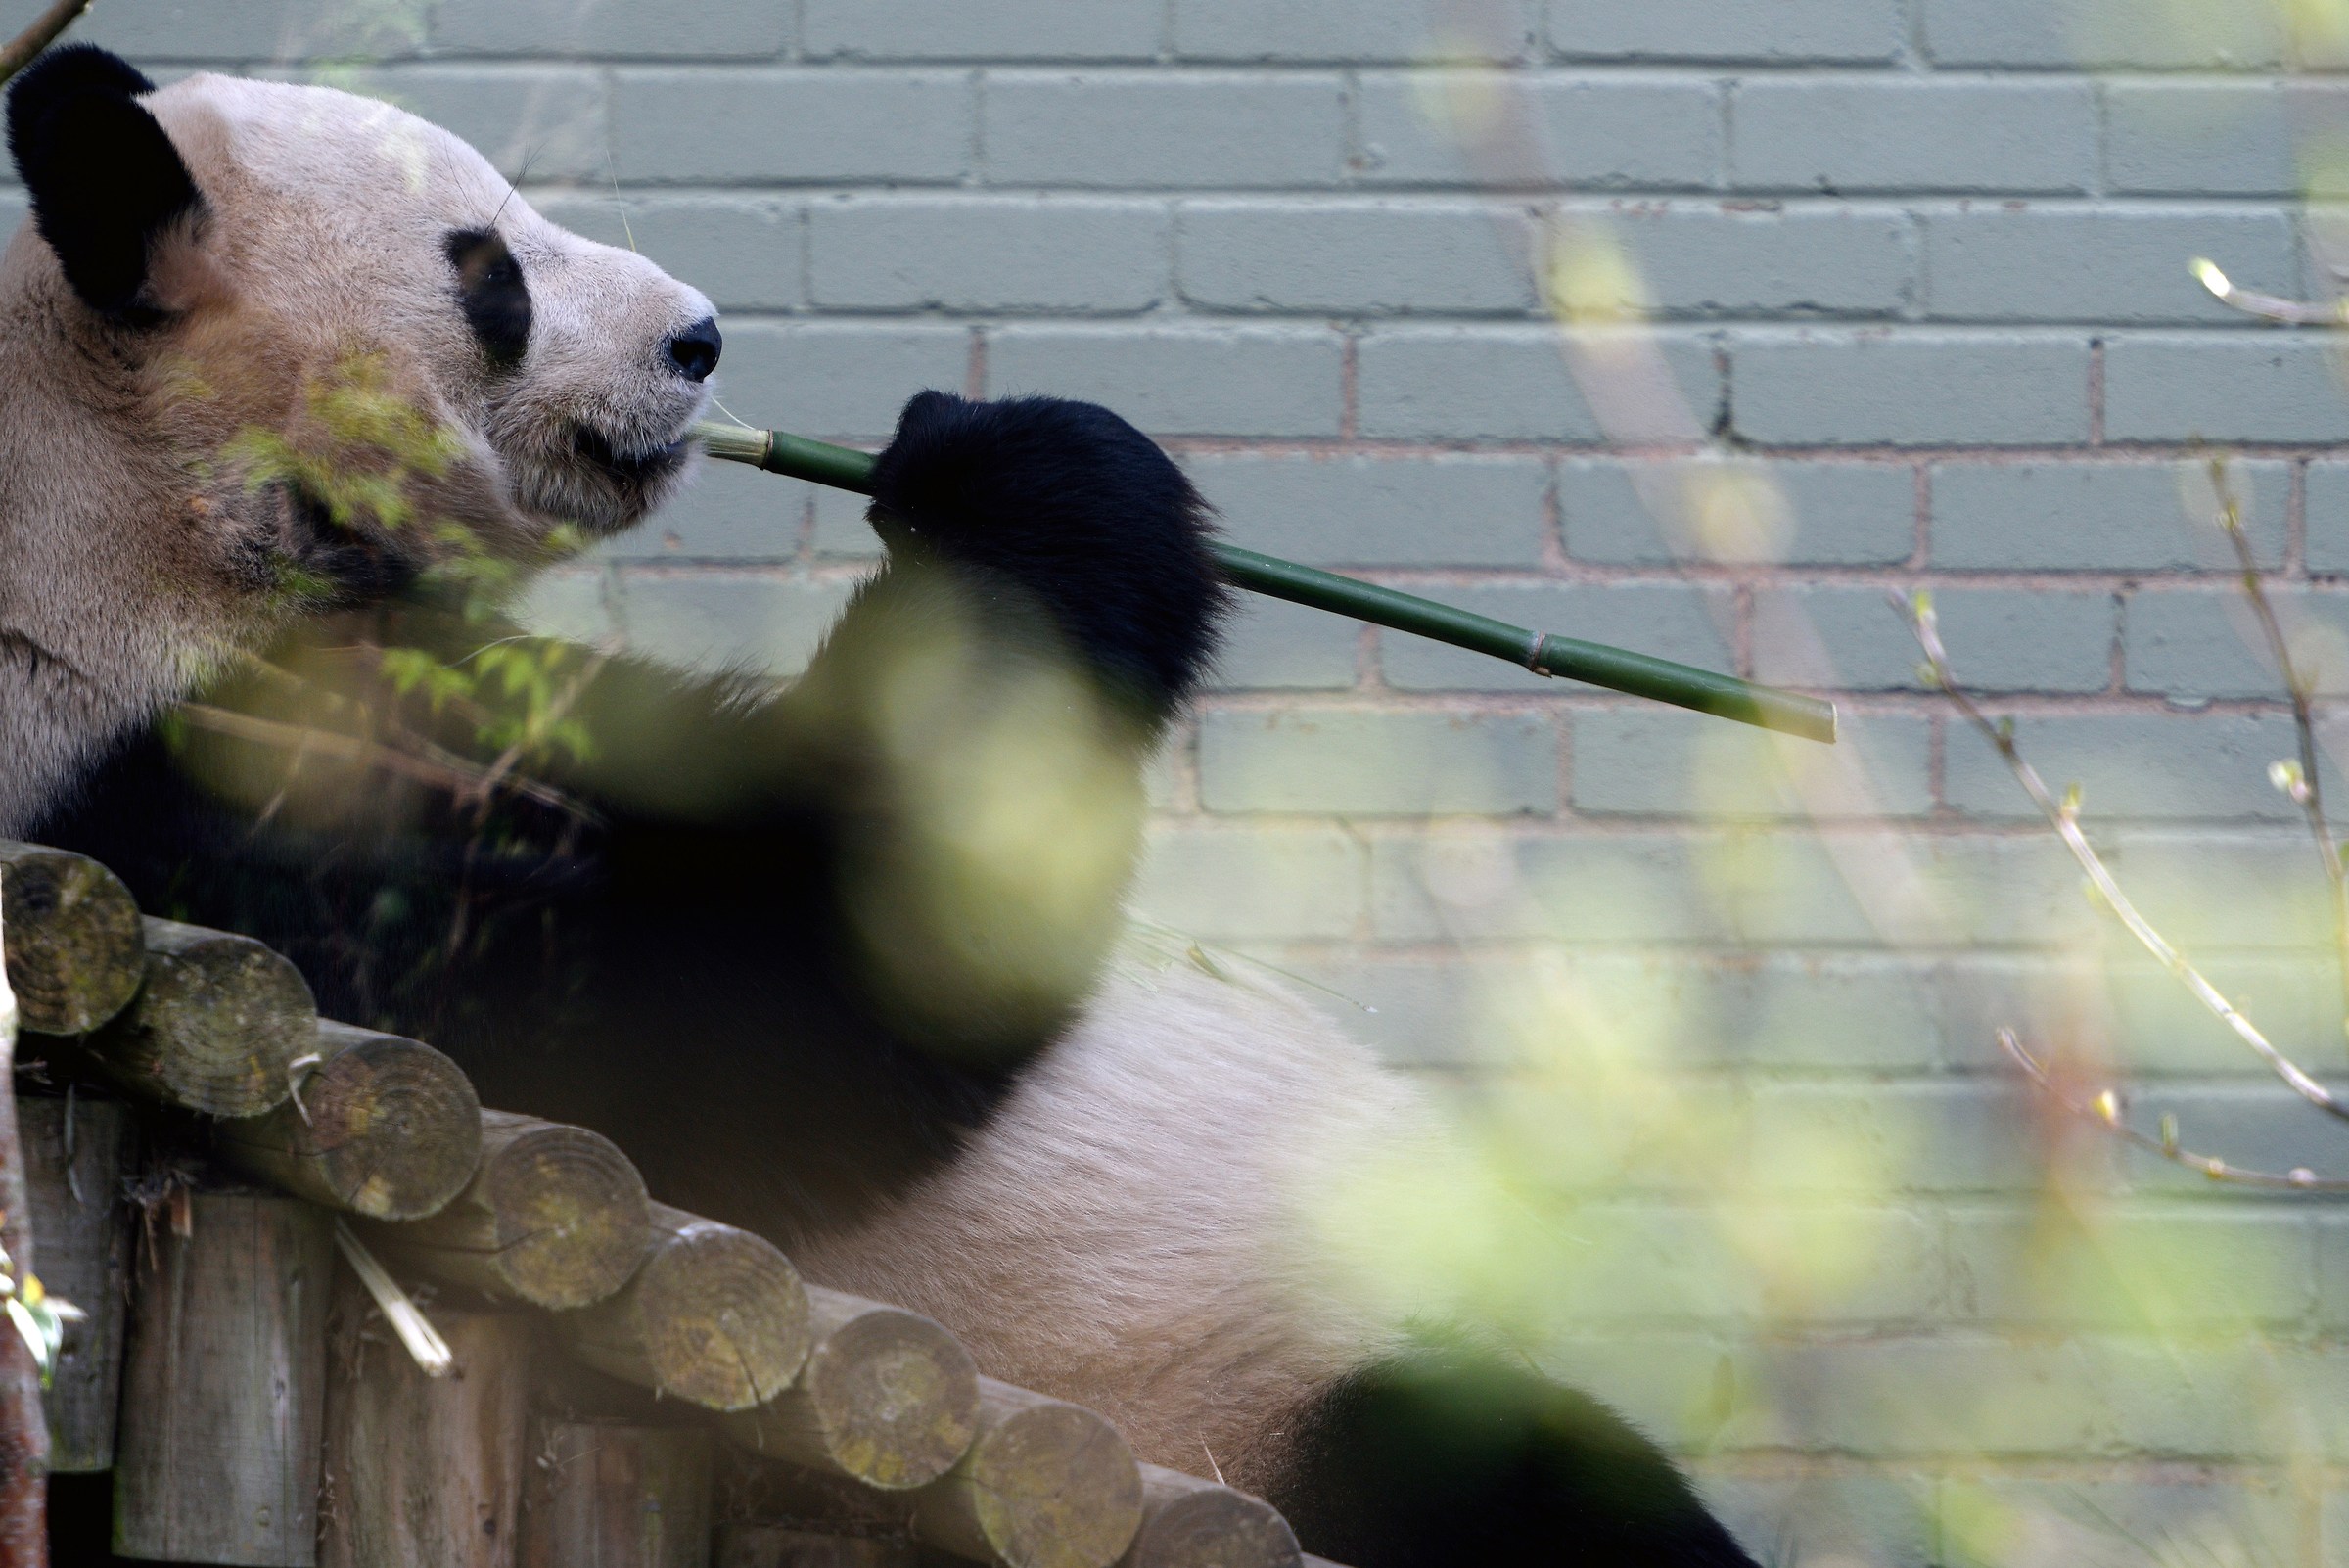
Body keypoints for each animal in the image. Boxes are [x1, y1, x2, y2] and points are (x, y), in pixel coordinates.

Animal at [1, 46, 1761, 1568]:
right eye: (487, 268)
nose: (699, 341)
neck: (151, 504)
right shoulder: (207, 770)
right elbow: (802, 973)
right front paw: (1022, 471)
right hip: (1222, 1398)